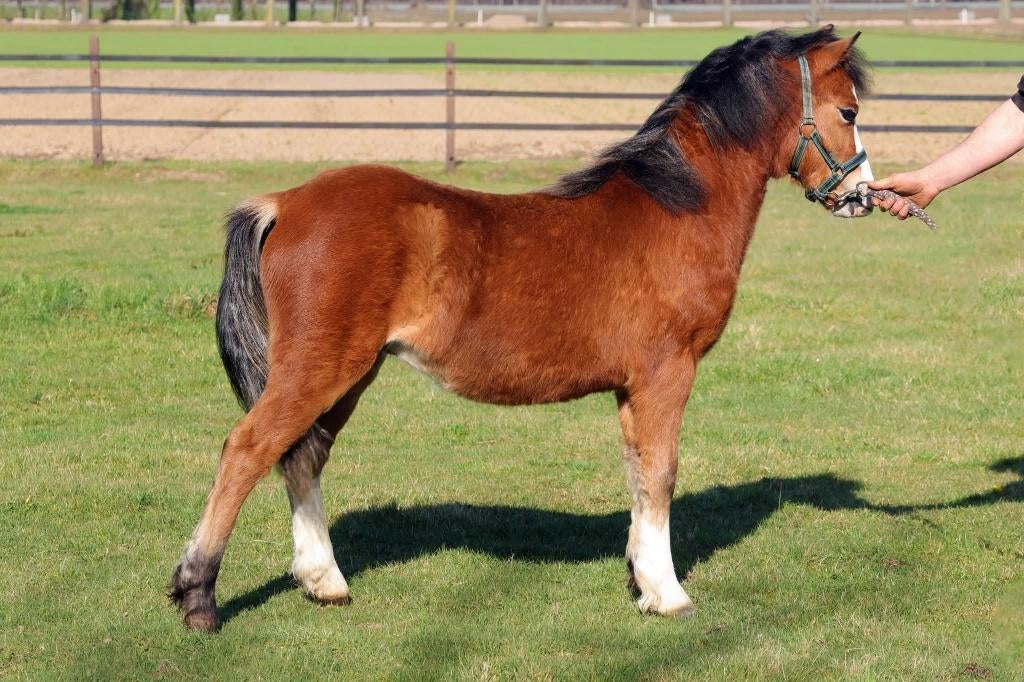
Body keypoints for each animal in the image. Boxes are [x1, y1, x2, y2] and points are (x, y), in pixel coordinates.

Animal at [169, 26, 875, 632]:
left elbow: (637, 471)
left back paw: (324, 582)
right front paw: (669, 594)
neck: (673, 209)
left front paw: (642, 580)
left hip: (351, 373)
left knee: (303, 455)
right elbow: (662, 472)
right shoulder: (667, 373)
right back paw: (199, 597)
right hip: (319, 368)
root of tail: (283, 203)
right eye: (847, 112)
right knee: (248, 450)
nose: (861, 196)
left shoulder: (631, 387)